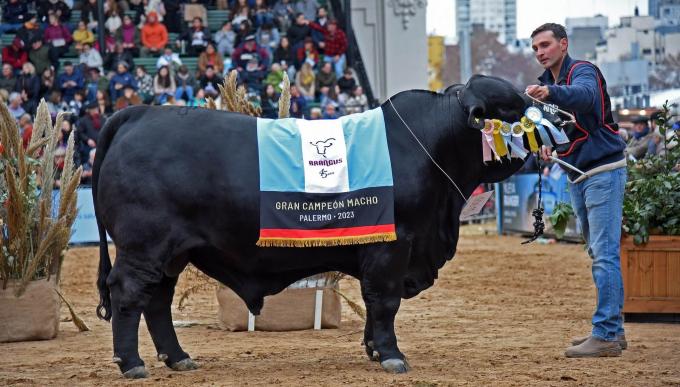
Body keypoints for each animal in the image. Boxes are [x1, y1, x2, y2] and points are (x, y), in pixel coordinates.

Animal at [95, 74, 532, 378]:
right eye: (513, 108)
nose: (543, 112)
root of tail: (142, 112)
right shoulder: (393, 246)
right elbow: (385, 301)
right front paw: (392, 355)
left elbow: (373, 304)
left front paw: (374, 349)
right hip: (144, 248)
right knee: (129, 294)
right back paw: (131, 363)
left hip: (171, 254)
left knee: (157, 300)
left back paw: (178, 358)